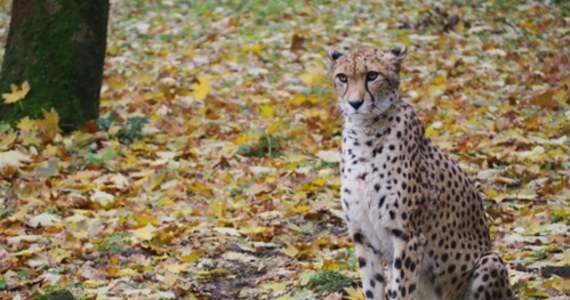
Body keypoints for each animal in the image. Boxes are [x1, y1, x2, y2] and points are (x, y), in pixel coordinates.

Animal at [326, 45, 512, 300]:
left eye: (372, 75)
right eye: (342, 77)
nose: (355, 103)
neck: (365, 133)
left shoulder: (407, 236)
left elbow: (401, 290)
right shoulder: (362, 236)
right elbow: (373, 286)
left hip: (490, 259)